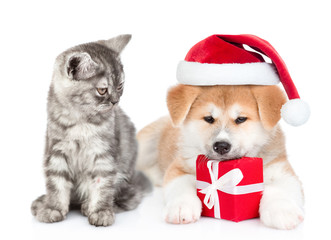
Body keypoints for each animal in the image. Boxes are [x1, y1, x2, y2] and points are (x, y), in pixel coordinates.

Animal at [30, 34, 150, 226]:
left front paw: (100, 212)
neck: (81, 120)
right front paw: (52, 208)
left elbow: (102, 184)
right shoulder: (56, 151)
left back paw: (89, 206)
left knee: (126, 197)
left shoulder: (104, 153)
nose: (115, 101)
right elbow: (56, 183)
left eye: (120, 86)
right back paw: (42, 202)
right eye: (102, 90)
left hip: (125, 178)